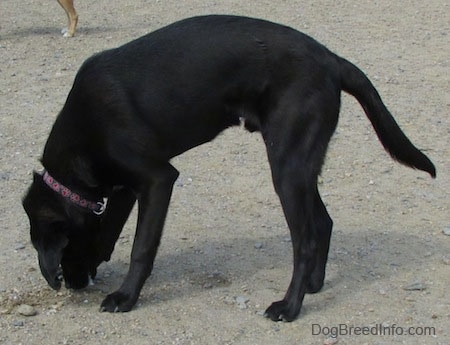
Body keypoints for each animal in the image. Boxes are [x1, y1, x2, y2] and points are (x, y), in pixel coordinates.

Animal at [22, 14, 436, 320]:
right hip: (300, 165)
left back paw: (290, 306)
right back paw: (314, 284)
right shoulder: (125, 187)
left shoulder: (157, 179)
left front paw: (125, 297)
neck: (85, 127)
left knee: (305, 239)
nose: (72, 285)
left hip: (286, 167)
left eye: (59, 255)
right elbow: (108, 231)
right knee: (323, 222)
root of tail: (331, 59)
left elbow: (142, 247)